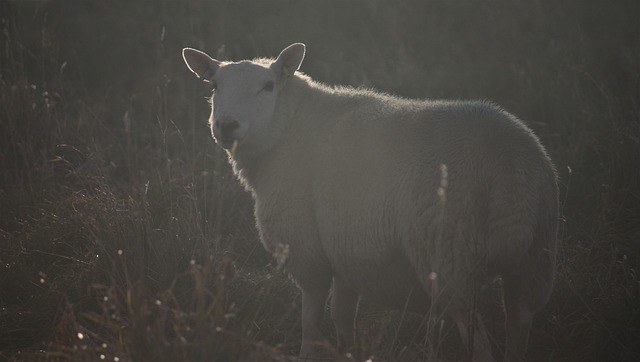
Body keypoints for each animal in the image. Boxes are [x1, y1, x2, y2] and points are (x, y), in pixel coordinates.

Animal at [182, 43, 556, 362]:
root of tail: (511, 169)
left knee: (479, 342)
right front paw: (350, 352)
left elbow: (311, 323)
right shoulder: (347, 252)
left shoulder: (308, 253)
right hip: (533, 260)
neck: (288, 127)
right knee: (519, 323)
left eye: (268, 86)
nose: (226, 125)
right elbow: (343, 318)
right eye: (214, 85)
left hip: (451, 255)